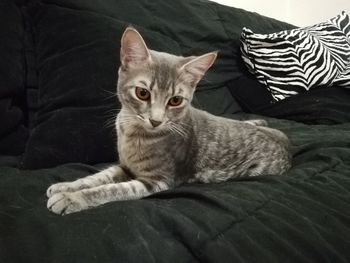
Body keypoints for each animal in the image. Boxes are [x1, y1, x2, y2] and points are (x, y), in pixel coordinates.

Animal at [47, 26, 292, 217]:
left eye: (175, 100)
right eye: (142, 93)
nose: (156, 121)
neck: (133, 133)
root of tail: (285, 141)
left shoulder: (156, 181)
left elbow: (111, 190)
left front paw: (72, 198)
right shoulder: (124, 166)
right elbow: (98, 177)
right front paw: (66, 186)